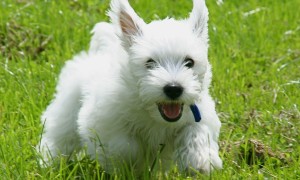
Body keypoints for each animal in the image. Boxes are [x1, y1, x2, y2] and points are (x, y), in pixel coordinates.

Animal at [38, 0, 223, 174]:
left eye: (189, 62)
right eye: (150, 63)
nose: (173, 88)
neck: (152, 114)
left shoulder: (199, 114)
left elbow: (196, 132)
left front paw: (199, 162)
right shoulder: (104, 123)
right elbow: (126, 146)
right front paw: (128, 167)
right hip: (67, 113)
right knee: (59, 138)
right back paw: (49, 163)